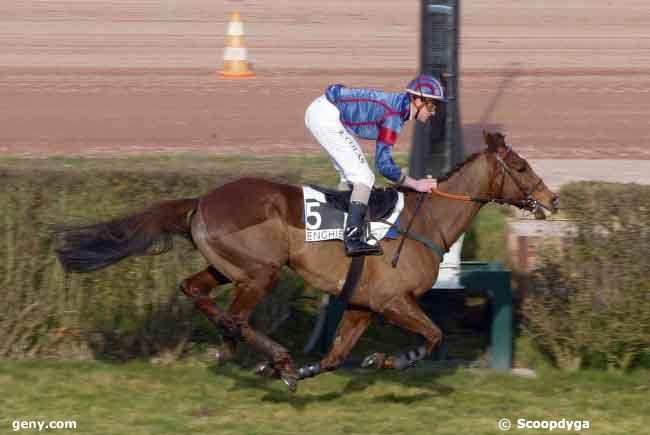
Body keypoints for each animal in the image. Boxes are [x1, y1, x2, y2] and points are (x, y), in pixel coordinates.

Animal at [54, 132, 556, 392]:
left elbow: (335, 357)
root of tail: (202, 199)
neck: (424, 222)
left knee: (196, 292)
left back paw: (249, 356)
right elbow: (432, 336)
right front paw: (388, 360)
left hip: (229, 269)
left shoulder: (363, 305)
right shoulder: (393, 301)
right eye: (521, 166)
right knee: (237, 317)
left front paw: (328, 365)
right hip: (261, 272)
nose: (552, 199)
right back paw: (275, 358)